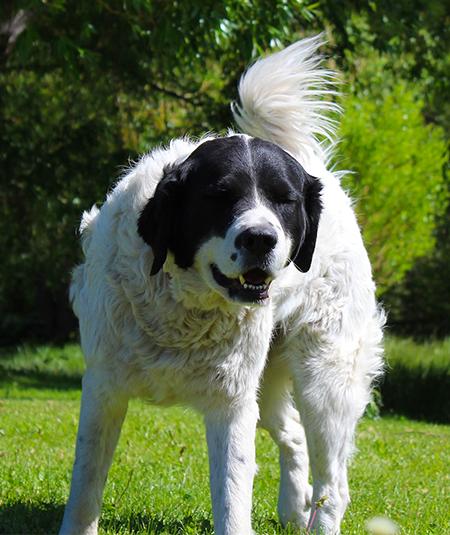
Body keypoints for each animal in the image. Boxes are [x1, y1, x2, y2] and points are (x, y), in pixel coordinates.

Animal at [59, 36, 384, 535]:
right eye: (220, 196)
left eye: (284, 201)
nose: (261, 238)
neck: (180, 304)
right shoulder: (103, 389)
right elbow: (84, 487)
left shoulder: (231, 406)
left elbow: (231, 497)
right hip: (270, 390)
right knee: (292, 434)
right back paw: (293, 511)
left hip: (324, 382)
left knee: (335, 483)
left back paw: (316, 516)